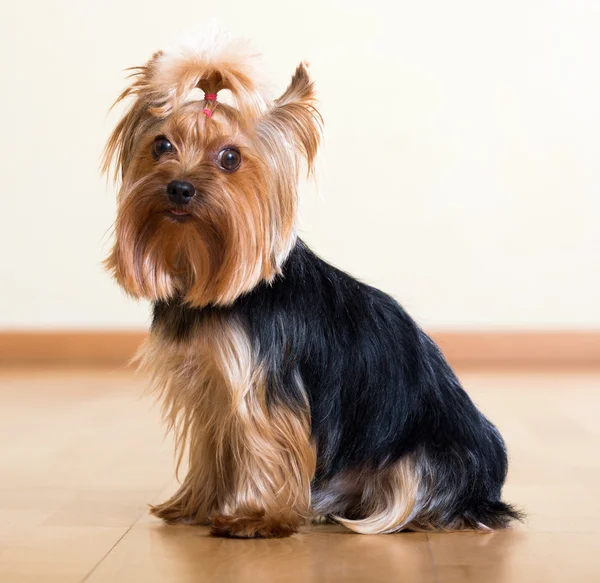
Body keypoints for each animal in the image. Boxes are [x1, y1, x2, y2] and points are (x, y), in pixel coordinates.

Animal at [103, 33, 520, 540]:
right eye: (161, 145)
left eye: (230, 158)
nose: (179, 188)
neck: (207, 273)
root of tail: (490, 493)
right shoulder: (211, 386)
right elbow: (212, 448)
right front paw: (195, 505)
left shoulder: (262, 389)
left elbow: (264, 446)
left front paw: (253, 517)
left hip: (427, 456)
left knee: (409, 495)